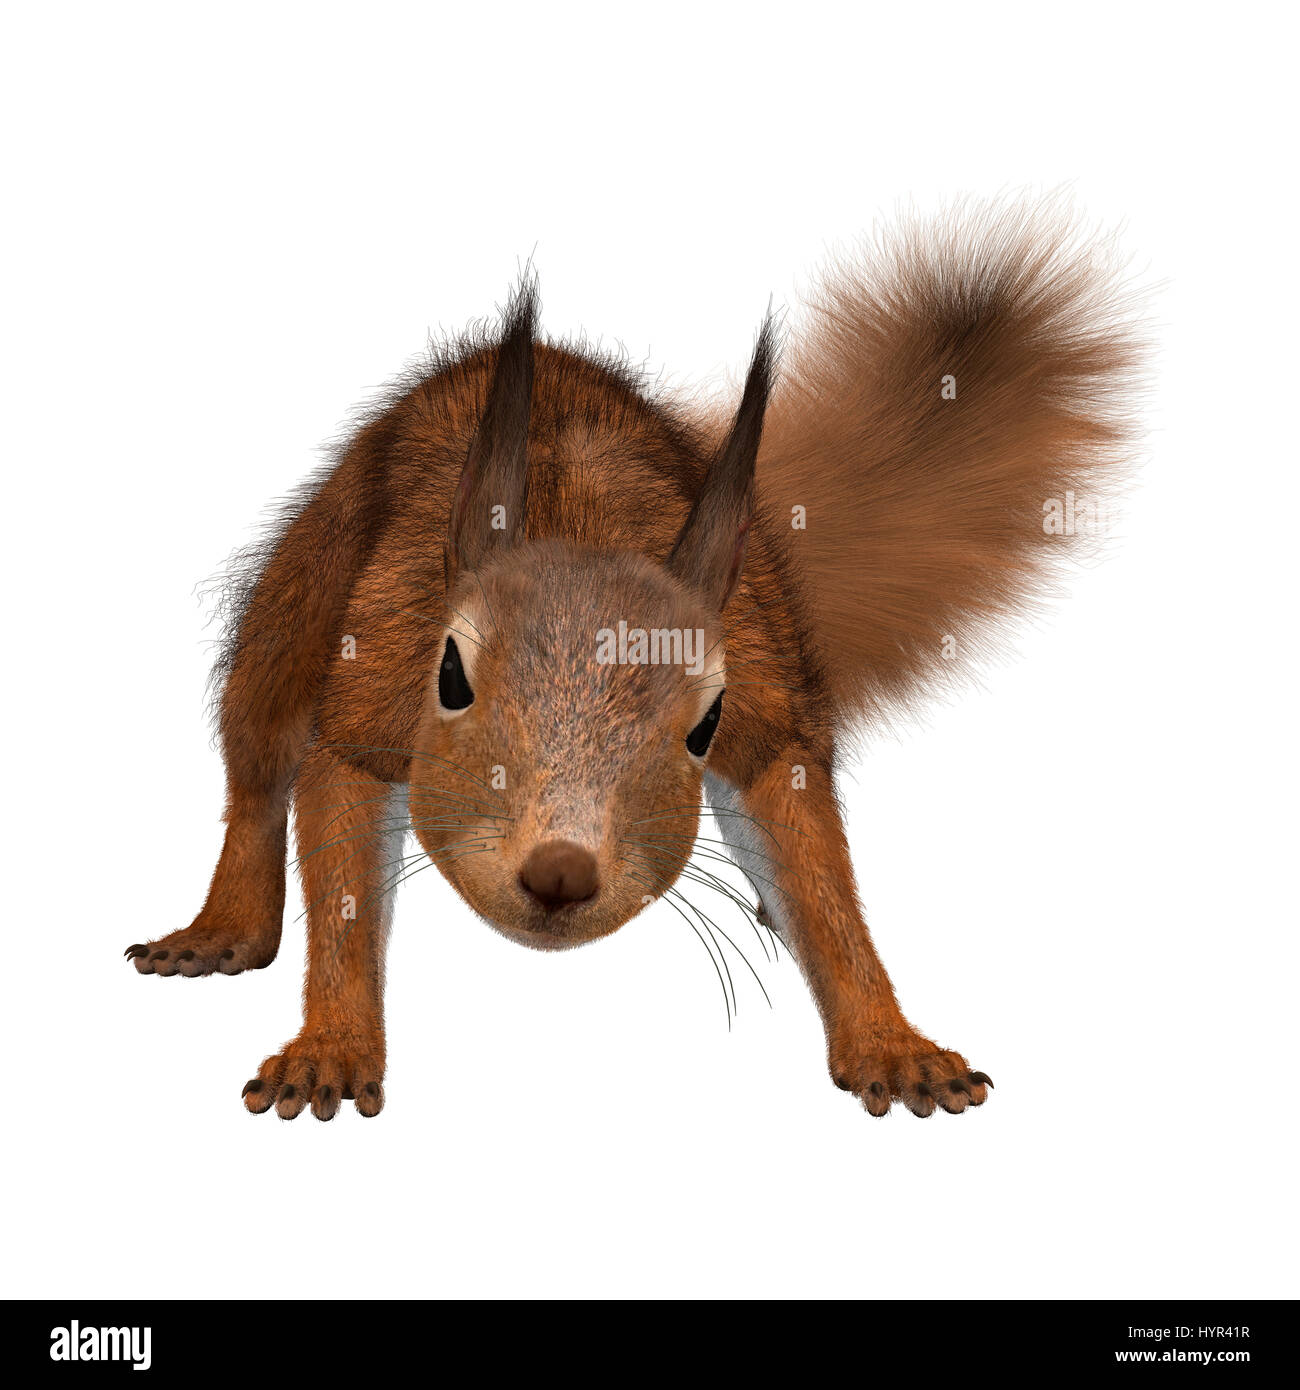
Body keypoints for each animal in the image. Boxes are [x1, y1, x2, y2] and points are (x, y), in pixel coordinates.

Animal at [126, 198, 1142, 1121]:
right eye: (448, 675)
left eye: (705, 724)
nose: (560, 874)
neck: (578, 524)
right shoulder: (375, 676)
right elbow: (337, 849)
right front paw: (331, 1048)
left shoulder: (768, 698)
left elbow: (824, 880)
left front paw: (891, 1043)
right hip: (299, 598)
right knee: (258, 764)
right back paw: (220, 929)